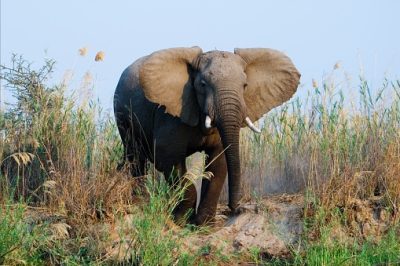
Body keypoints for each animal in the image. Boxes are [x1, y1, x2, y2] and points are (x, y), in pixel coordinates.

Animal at [112, 46, 300, 224]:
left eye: (245, 86)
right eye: (203, 84)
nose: (235, 209)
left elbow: (218, 162)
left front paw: (203, 223)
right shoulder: (170, 114)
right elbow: (169, 159)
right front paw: (182, 219)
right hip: (122, 113)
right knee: (135, 156)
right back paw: (140, 200)